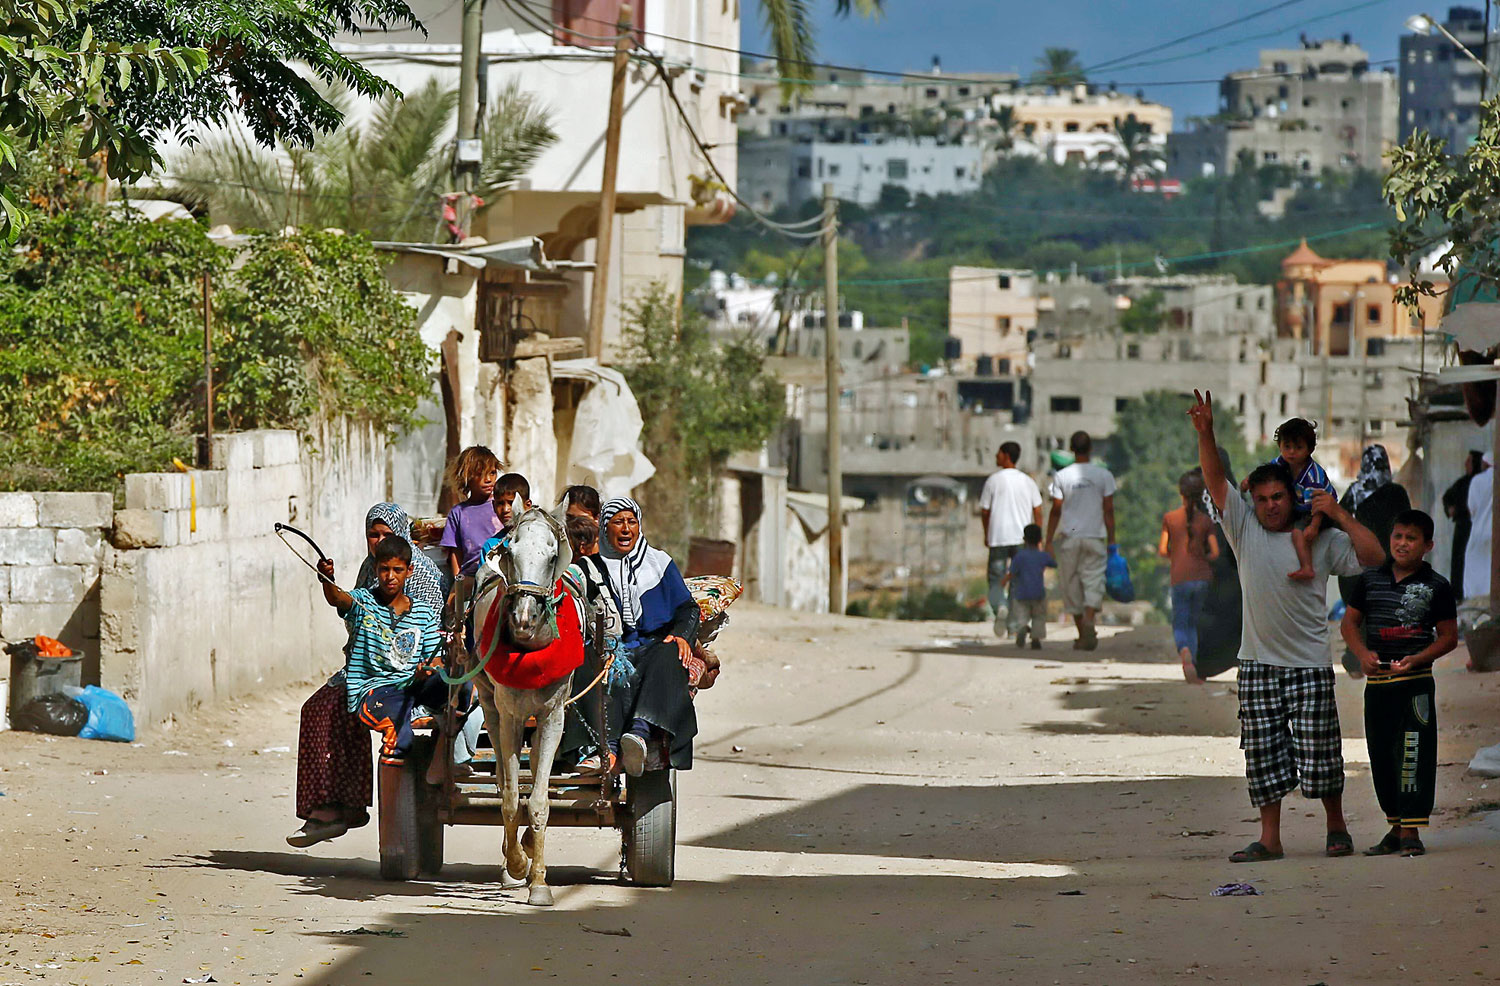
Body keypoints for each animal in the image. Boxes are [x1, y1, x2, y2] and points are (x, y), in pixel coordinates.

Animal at [471, 501, 576, 906]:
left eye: (552, 555)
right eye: (509, 551)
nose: (523, 619)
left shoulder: (552, 717)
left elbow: (539, 801)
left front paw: (540, 882)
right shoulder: (511, 716)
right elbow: (512, 797)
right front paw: (516, 864)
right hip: (490, 706)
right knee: (504, 779)